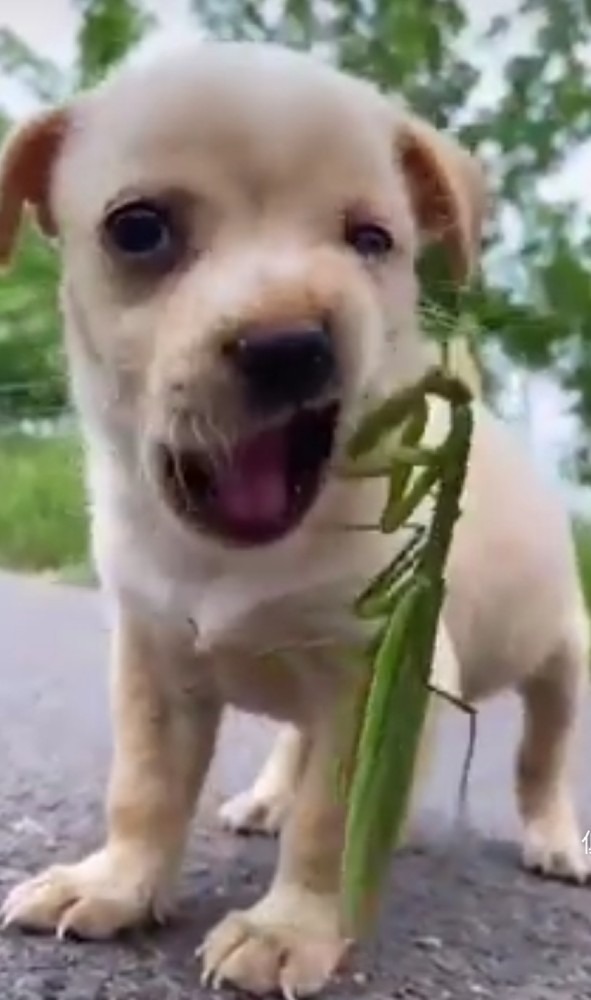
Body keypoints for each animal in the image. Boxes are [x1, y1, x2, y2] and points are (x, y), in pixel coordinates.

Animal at [0, 39, 588, 1000]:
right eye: (137, 228)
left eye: (372, 240)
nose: (290, 345)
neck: (226, 559)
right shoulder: (152, 653)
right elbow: (145, 785)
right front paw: (111, 885)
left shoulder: (377, 665)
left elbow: (334, 819)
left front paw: (285, 932)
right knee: (294, 745)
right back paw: (266, 797)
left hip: (560, 652)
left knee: (541, 751)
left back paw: (552, 839)